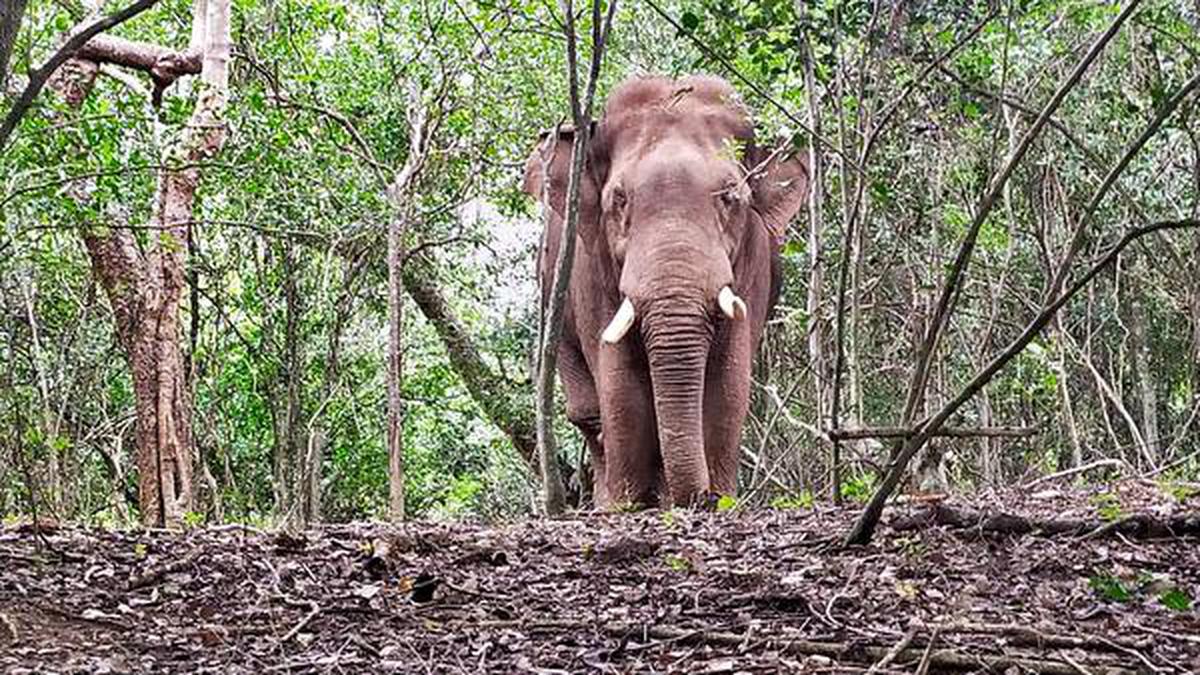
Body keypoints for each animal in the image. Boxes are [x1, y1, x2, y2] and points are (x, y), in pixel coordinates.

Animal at [523, 74, 811, 504]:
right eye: (618, 200)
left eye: (731, 197)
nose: (697, 496)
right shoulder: (588, 270)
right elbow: (618, 377)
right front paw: (626, 506)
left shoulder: (755, 264)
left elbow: (730, 376)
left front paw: (719, 499)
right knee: (586, 410)